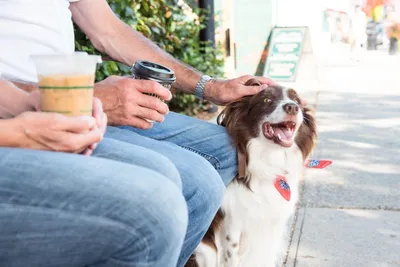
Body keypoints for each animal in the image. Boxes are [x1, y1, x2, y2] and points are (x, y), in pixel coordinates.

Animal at [186, 79, 318, 267]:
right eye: (266, 99)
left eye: (297, 100)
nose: (292, 107)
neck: (269, 161)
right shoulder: (231, 225)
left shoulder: (273, 227)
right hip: (205, 251)